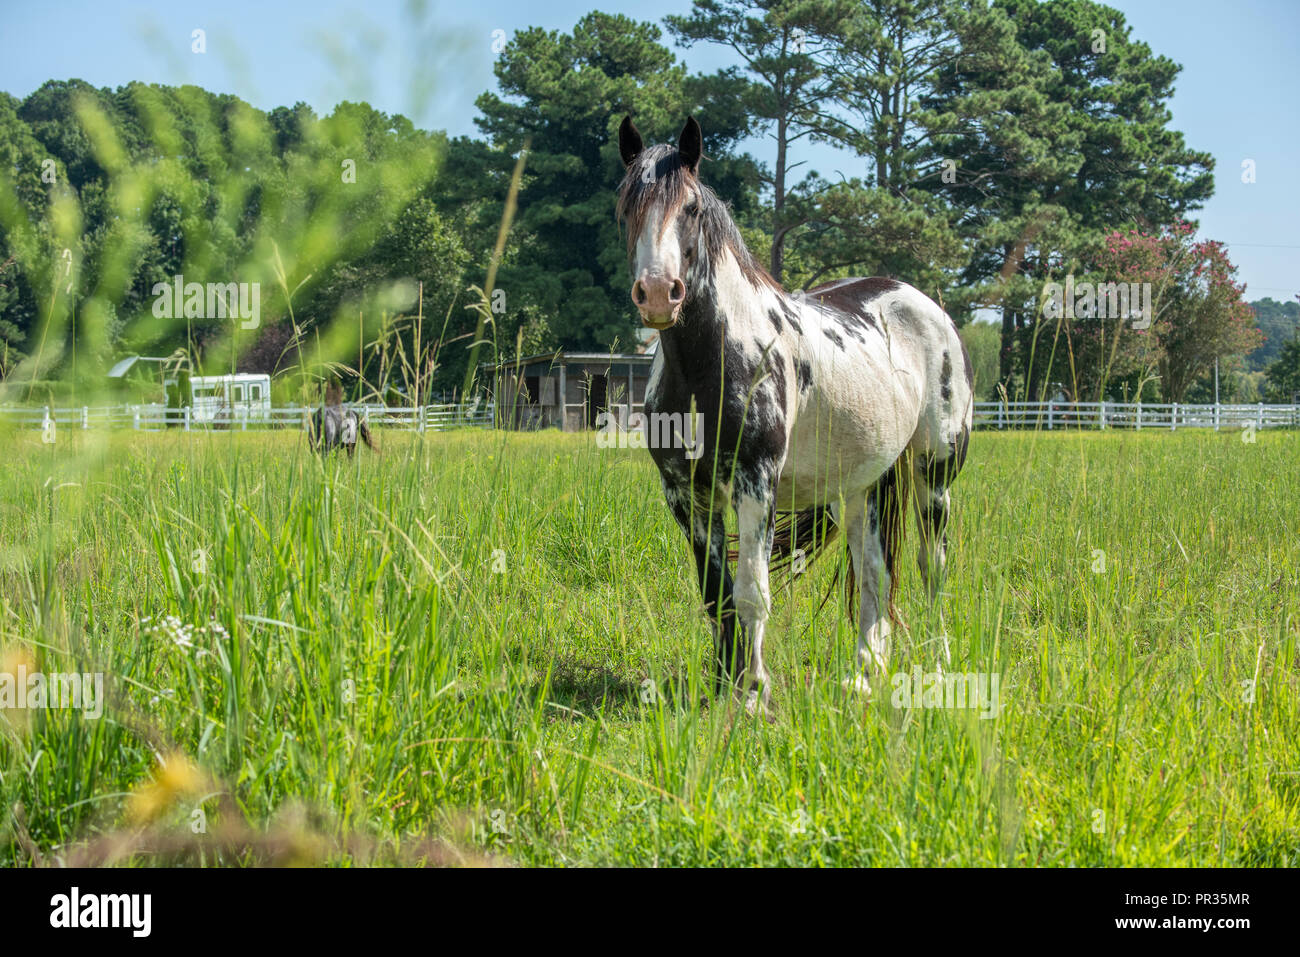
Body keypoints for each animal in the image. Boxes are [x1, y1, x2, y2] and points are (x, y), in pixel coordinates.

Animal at [616, 116, 973, 713]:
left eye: (690, 208)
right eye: (626, 208)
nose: (659, 294)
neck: (710, 363)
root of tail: (920, 303)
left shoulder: (754, 483)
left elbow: (752, 592)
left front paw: (755, 693)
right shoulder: (687, 496)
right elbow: (717, 596)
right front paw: (725, 687)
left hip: (934, 475)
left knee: (934, 567)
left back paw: (940, 665)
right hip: (864, 484)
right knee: (874, 570)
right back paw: (865, 673)